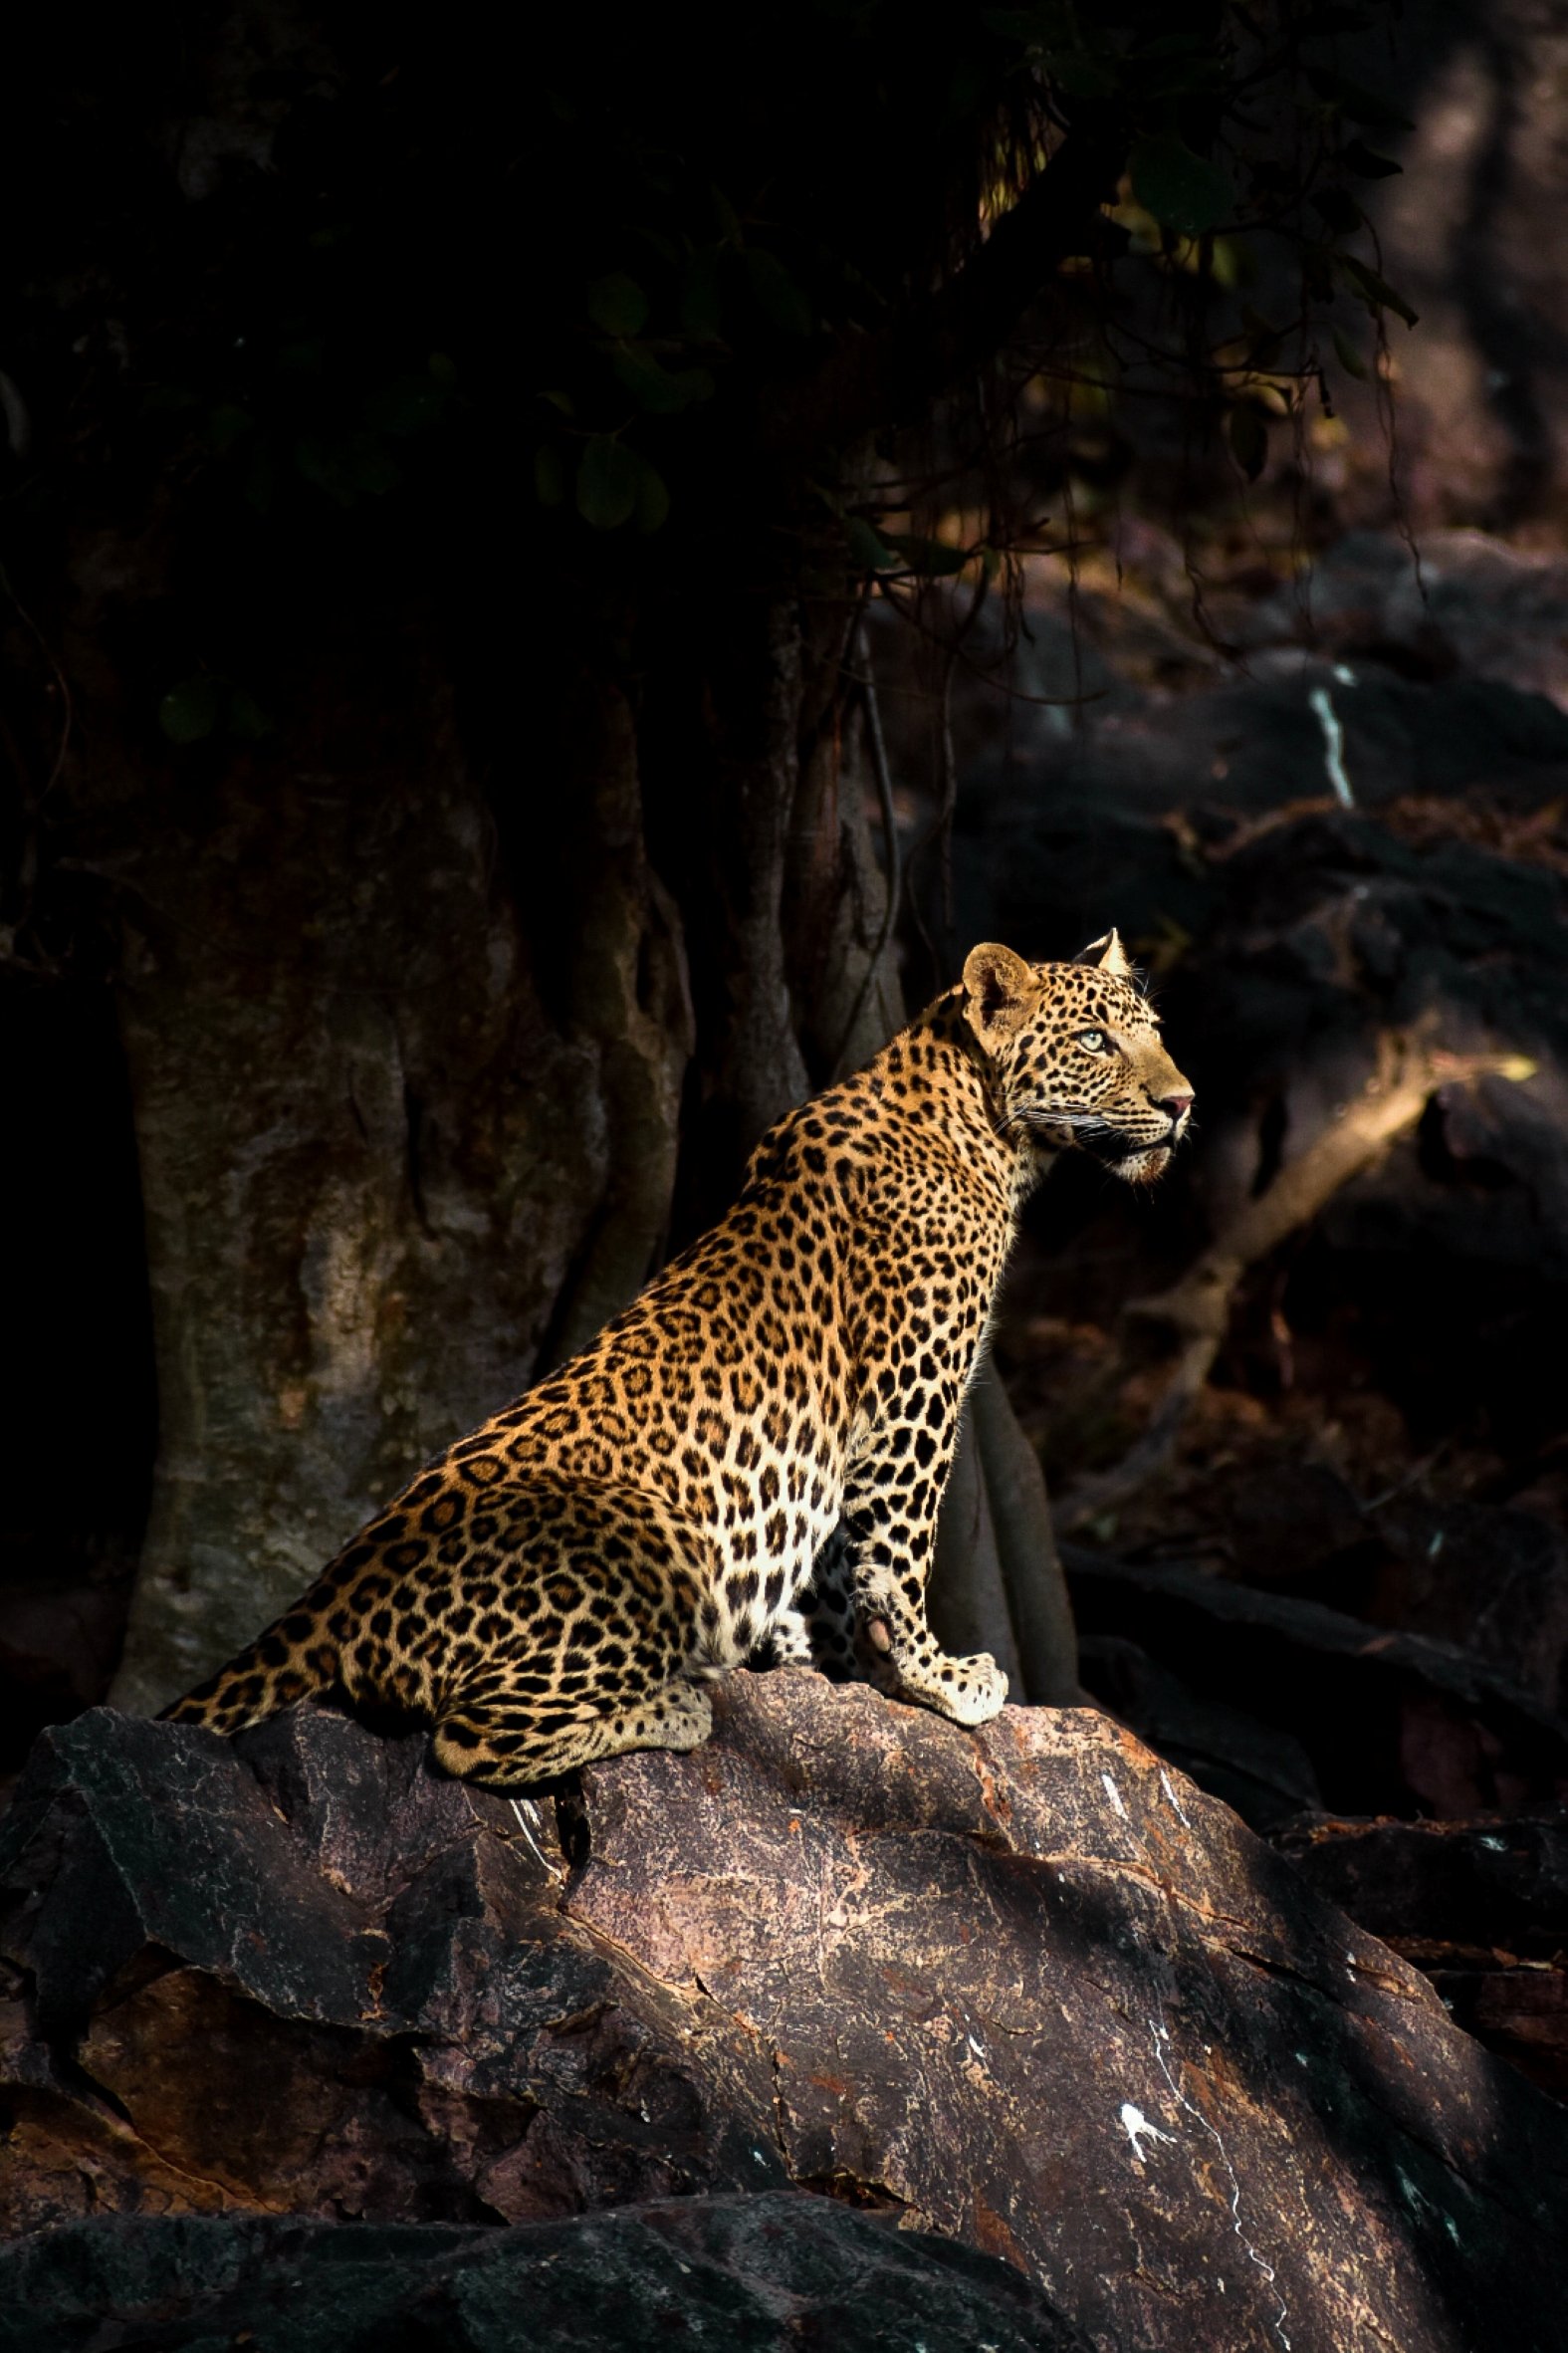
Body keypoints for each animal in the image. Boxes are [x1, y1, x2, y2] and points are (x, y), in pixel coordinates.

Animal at [162, 931, 1193, 1787]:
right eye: (1096, 1040)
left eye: (1151, 1032)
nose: (1183, 1103)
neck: (984, 1130)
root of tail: (334, 1592)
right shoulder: (911, 1402)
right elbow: (895, 1557)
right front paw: (938, 1679)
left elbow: (830, 1570)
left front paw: (830, 1667)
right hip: (644, 1539)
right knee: (470, 1736)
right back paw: (681, 1703)